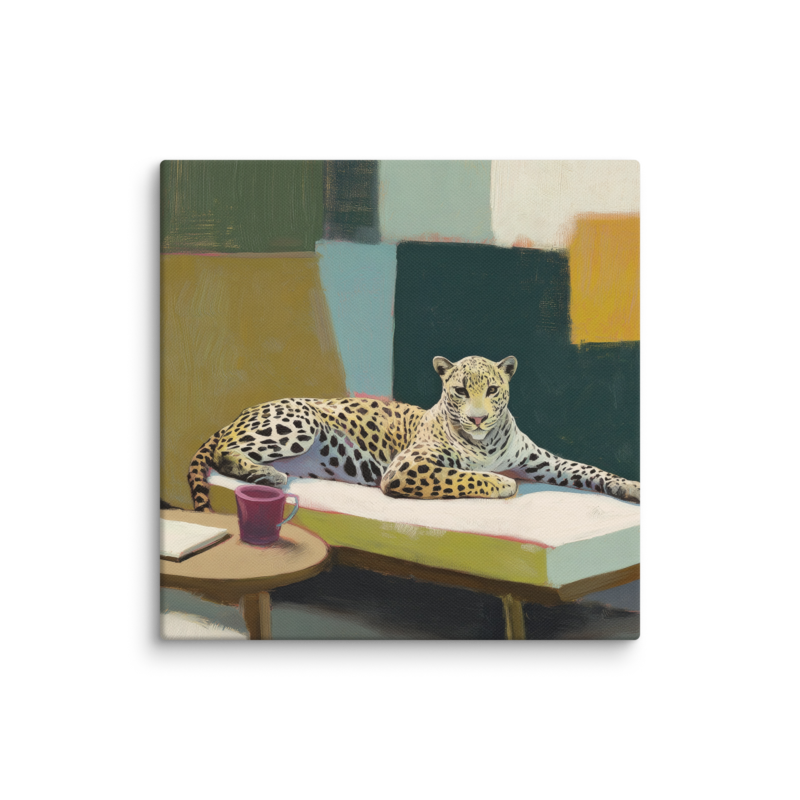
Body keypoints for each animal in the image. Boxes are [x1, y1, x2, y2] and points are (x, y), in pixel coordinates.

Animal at [188, 355, 641, 511]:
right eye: (460, 391)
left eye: (493, 390)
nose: (478, 419)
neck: (486, 444)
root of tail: (240, 412)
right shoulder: (407, 469)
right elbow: (468, 477)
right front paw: (500, 483)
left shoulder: (546, 463)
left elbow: (591, 469)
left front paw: (632, 487)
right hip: (300, 422)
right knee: (224, 452)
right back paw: (267, 474)